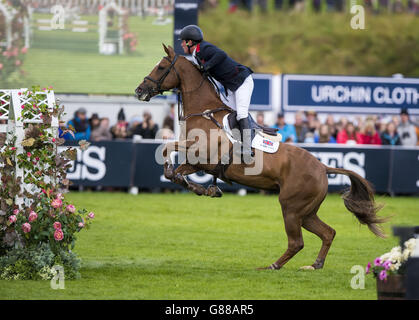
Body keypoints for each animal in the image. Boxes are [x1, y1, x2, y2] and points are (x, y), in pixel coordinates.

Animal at [135, 45, 388, 270]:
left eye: (161, 67)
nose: (139, 90)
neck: (204, 112)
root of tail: (322, 167)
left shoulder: (202, 154)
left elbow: (169, 153)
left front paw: (197, 186)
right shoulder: (197, 161)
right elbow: (174, 165)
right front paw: (202, 188)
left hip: (291, 207)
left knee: (297, 242)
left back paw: (273, 266)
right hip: (307, 212)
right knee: (328, 232)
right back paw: (314, 265)